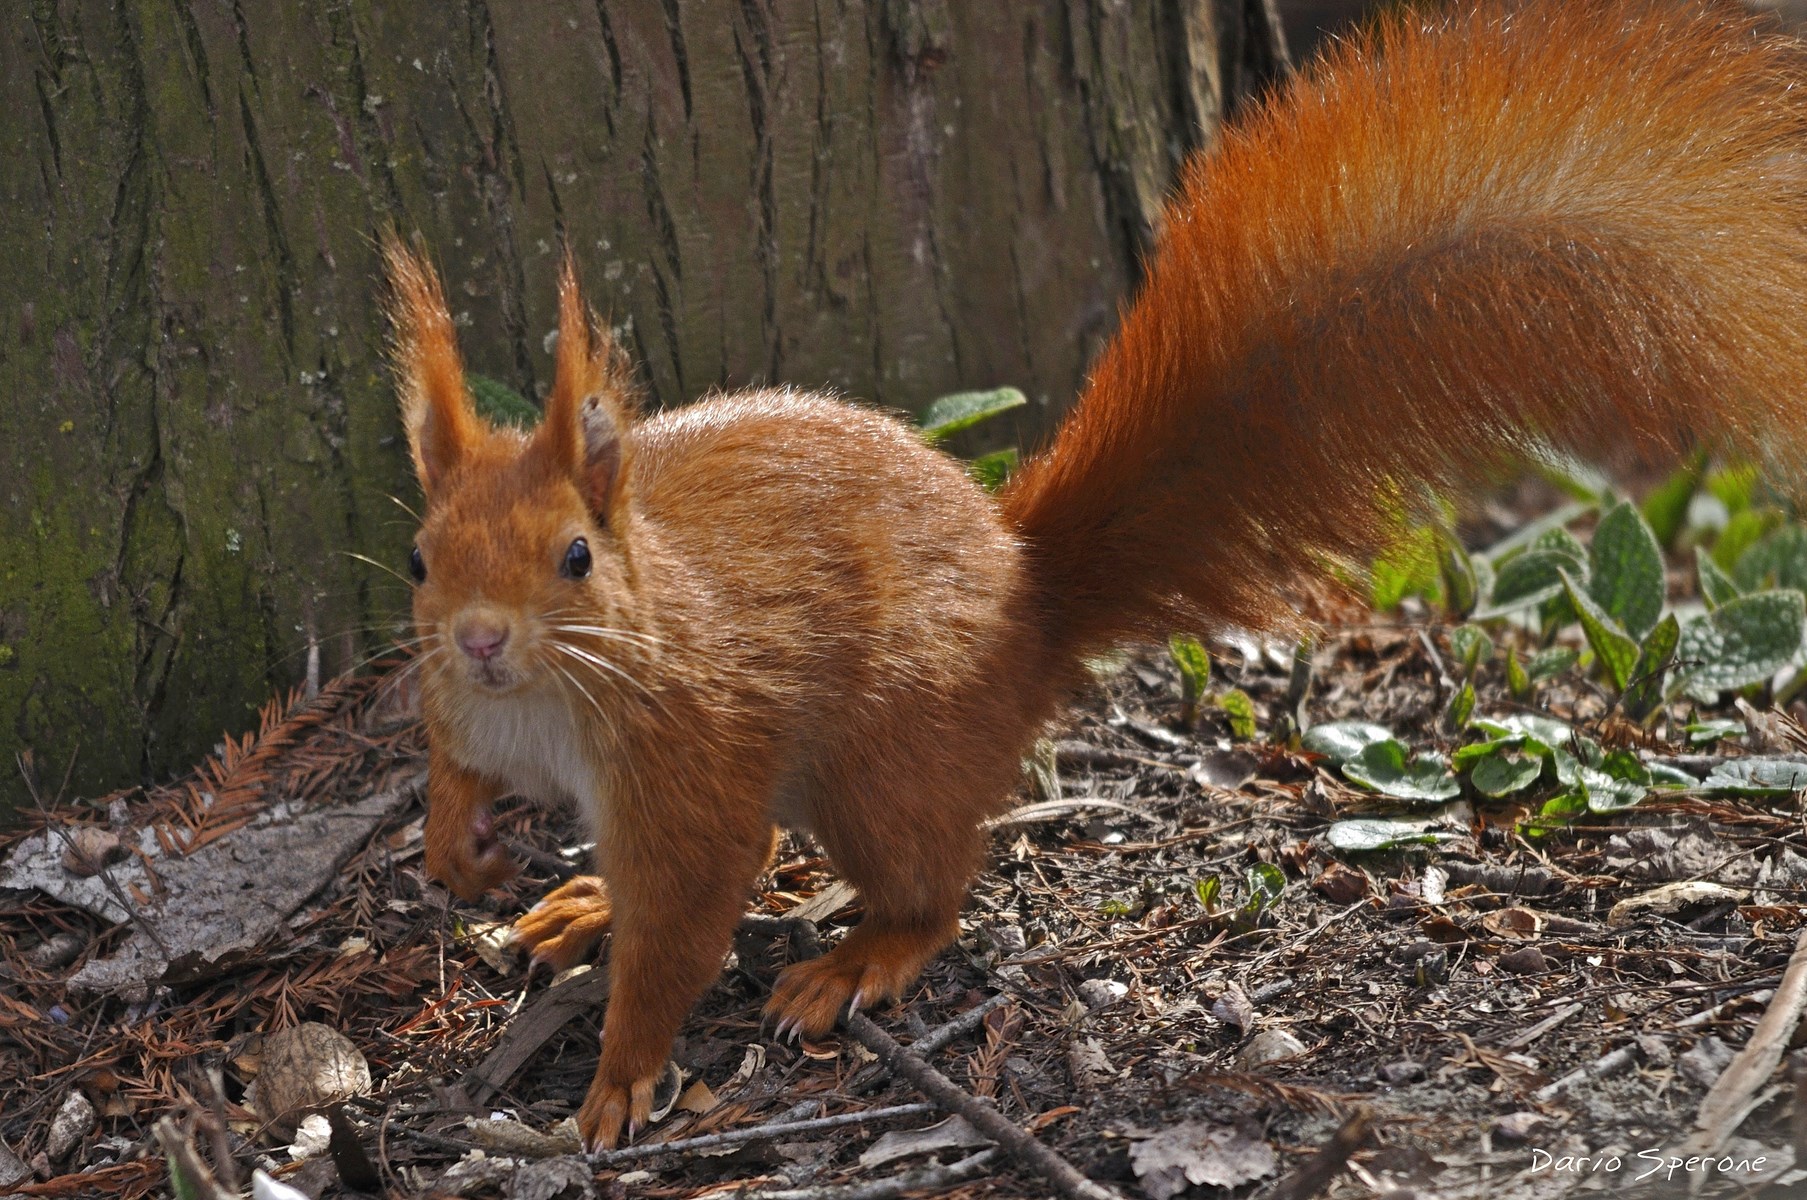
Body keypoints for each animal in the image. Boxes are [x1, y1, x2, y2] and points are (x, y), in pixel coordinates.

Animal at [384, 0, 1807, 1150]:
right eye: (418, 557)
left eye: (576, 558)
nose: (479, 638)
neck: (550, 698)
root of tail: (1030, 595)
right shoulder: (473, 716)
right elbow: (455, 770)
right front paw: (458, 848)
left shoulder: (690, 753)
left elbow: (686, 916)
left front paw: (621, 1075)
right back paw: (580, 902)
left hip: (881, 762)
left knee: (927, 886)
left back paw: (854, 956)